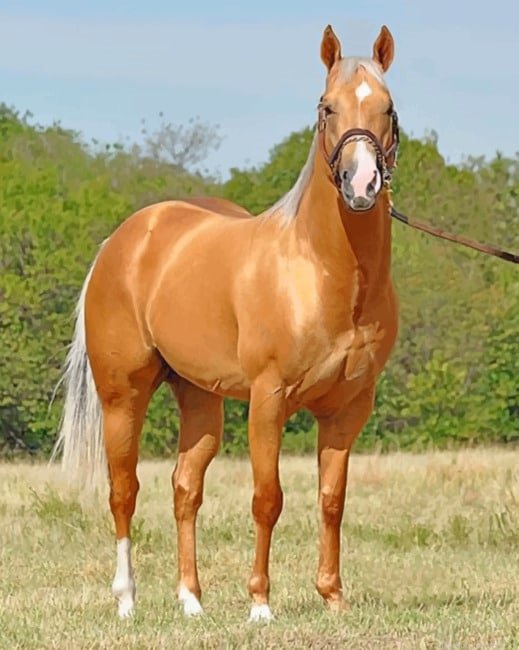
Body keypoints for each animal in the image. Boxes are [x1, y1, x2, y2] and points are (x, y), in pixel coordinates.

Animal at [54, 24, 400, 621]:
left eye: (387, 107)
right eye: (326, 107)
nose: (361, 185)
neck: (324, 272)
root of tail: (125, 240)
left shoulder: (348, 408)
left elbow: (332, 500)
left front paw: (332, 596)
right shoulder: (268, 398)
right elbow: (268, 498)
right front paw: (260, 603)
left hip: (199, 399)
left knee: (184, 487)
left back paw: (191, 600)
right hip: (122, 396)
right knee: (123, 491)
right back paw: (127, 599)